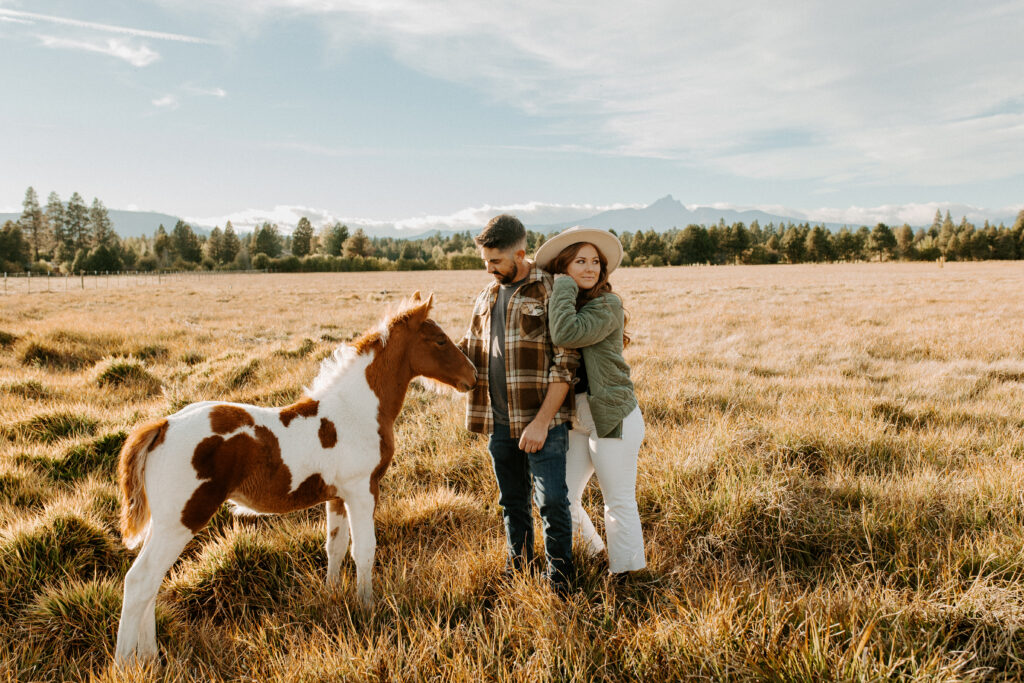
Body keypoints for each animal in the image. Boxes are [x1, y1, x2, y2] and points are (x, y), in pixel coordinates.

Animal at [116, 292, 475, 663]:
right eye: (440, 340)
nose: (474, 376)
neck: (355, 410)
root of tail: (162, 426)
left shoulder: (338, 495)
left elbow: (335, 547)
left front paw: (332, 596)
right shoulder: (363, 491)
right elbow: (364, 550)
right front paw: (367, 607)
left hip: (163, 523)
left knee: (151, 584)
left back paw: (149, 656)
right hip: (182, 519)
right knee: (140, 580)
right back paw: (126, 663)